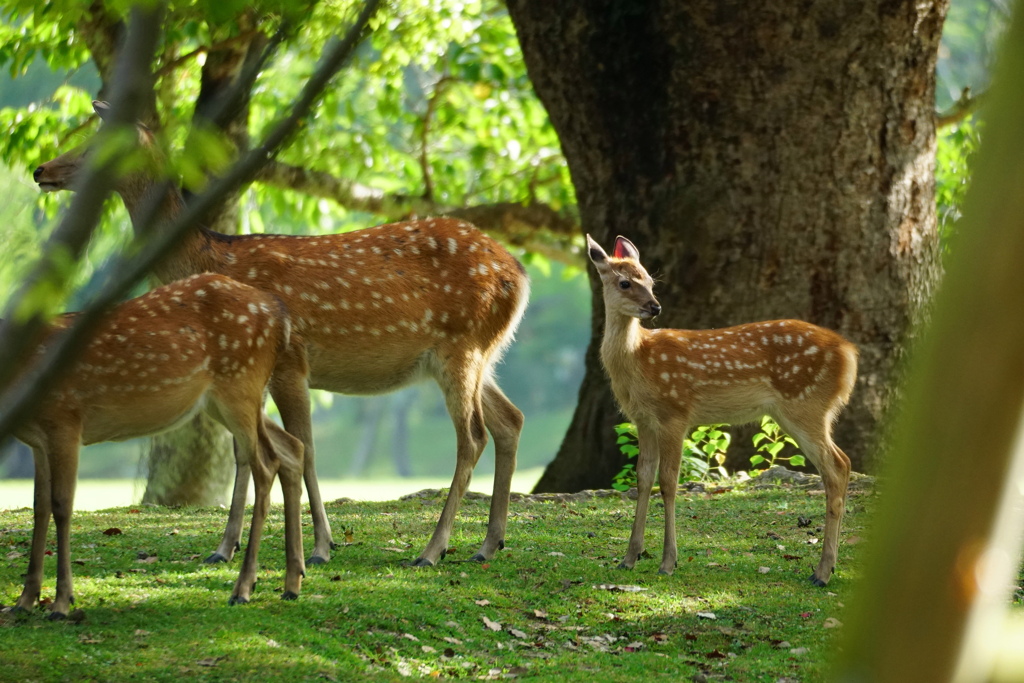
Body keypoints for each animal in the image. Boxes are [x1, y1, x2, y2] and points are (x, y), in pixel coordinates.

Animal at [8, 272, 305, 618]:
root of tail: (279, 313)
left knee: (267, 463)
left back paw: (243, 588)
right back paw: (292, 584)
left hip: (240, 383)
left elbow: (61, 506)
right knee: (291, 448)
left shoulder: (65, 420)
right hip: (220, 400)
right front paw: (24, 600)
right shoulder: (37, 441)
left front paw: (61, 602)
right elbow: (39, 507)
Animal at [34, 101, 528, 569]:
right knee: (510, 419)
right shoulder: (241, 371)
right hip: (480, 354)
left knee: (473, 436)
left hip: (461, 346)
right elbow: (244, 453)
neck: (212, 256)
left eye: (97, 144)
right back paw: (488, 543)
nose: (41, 170)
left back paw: (432, 549)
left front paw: (322, 547)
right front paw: (224, 547)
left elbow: (303, 448)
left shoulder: (290, 360)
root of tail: (518, 275)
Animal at [585, 236, 856, 589]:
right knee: (842, 464)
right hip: (802, 411)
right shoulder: (643, 419)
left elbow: (669, 482)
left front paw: (668, 562)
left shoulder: (675, 412)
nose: (655, 307)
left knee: (836, 467)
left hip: (806, 406)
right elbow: (643, 479)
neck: (638, 359)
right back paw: (826, 568)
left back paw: (822, 573)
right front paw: (629, 558)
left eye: (651, 281)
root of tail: (849, 353)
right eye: (626, 282)